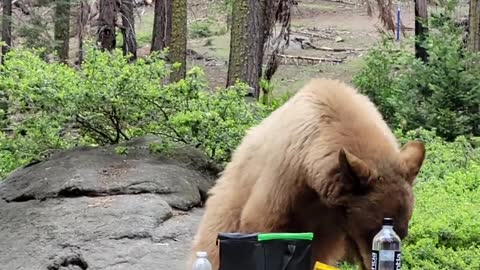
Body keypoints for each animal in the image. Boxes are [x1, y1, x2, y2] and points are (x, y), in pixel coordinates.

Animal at [189, 78, 426, 270]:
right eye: (372, 229)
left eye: (404, 232)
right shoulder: (284, 176)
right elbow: (263, 223)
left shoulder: (331, 222)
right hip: (227, 206)